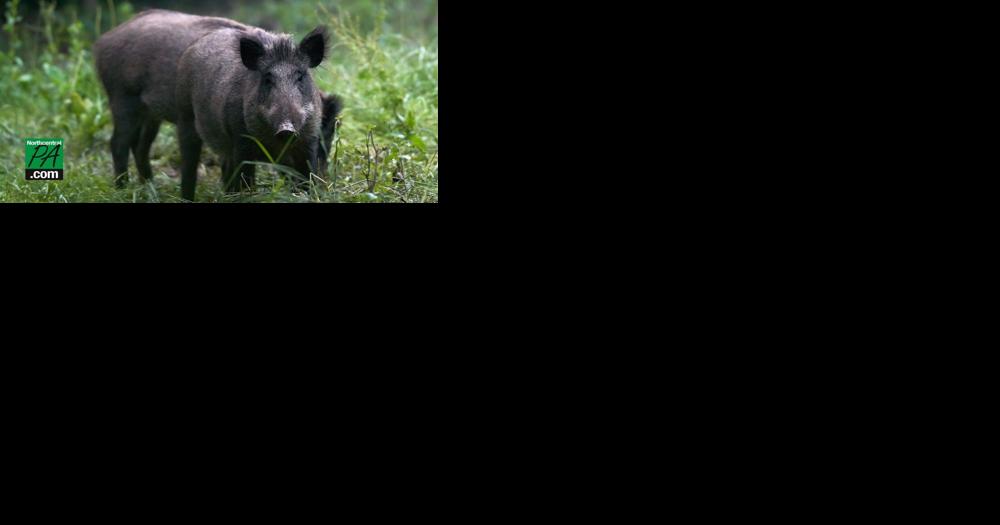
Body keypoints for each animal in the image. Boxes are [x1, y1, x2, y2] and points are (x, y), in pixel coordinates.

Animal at [94, 9, 342, 201]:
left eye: (301, 77)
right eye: (267, 79)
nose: (287, 129)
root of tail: (104, 39)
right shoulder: (241, 143)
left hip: (150, 114)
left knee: (140, 146)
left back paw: (149, 187)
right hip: (123, 99)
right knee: (118, 143)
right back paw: (122, 190)